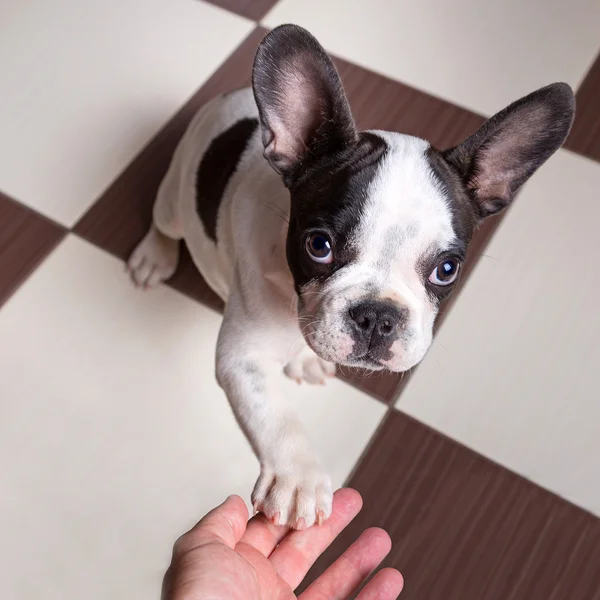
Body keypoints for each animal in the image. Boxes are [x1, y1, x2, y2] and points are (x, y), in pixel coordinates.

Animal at [127, 23, 576, 528]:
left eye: (447, 269)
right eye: (319, 246)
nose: (378, 316)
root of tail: (227, 96)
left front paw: (306, 361)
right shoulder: (242, 357)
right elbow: (274, 414)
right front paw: (298, 478)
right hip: (173, 200)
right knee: (164, 222)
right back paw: (154, 256)